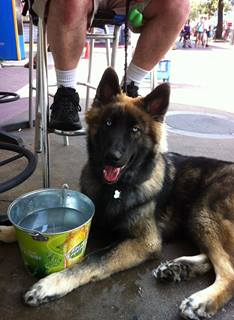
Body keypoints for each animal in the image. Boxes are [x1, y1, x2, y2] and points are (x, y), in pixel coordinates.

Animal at [1, 67, 234, 318]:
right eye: (108, 123)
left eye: (135, 130)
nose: (112, 157)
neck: (114, 189)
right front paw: (6, 230)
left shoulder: (143, 241)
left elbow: (94, 258)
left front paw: (50, 283)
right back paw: (178, 268)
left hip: (203, 212)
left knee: (229, 271)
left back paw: (203, 299)